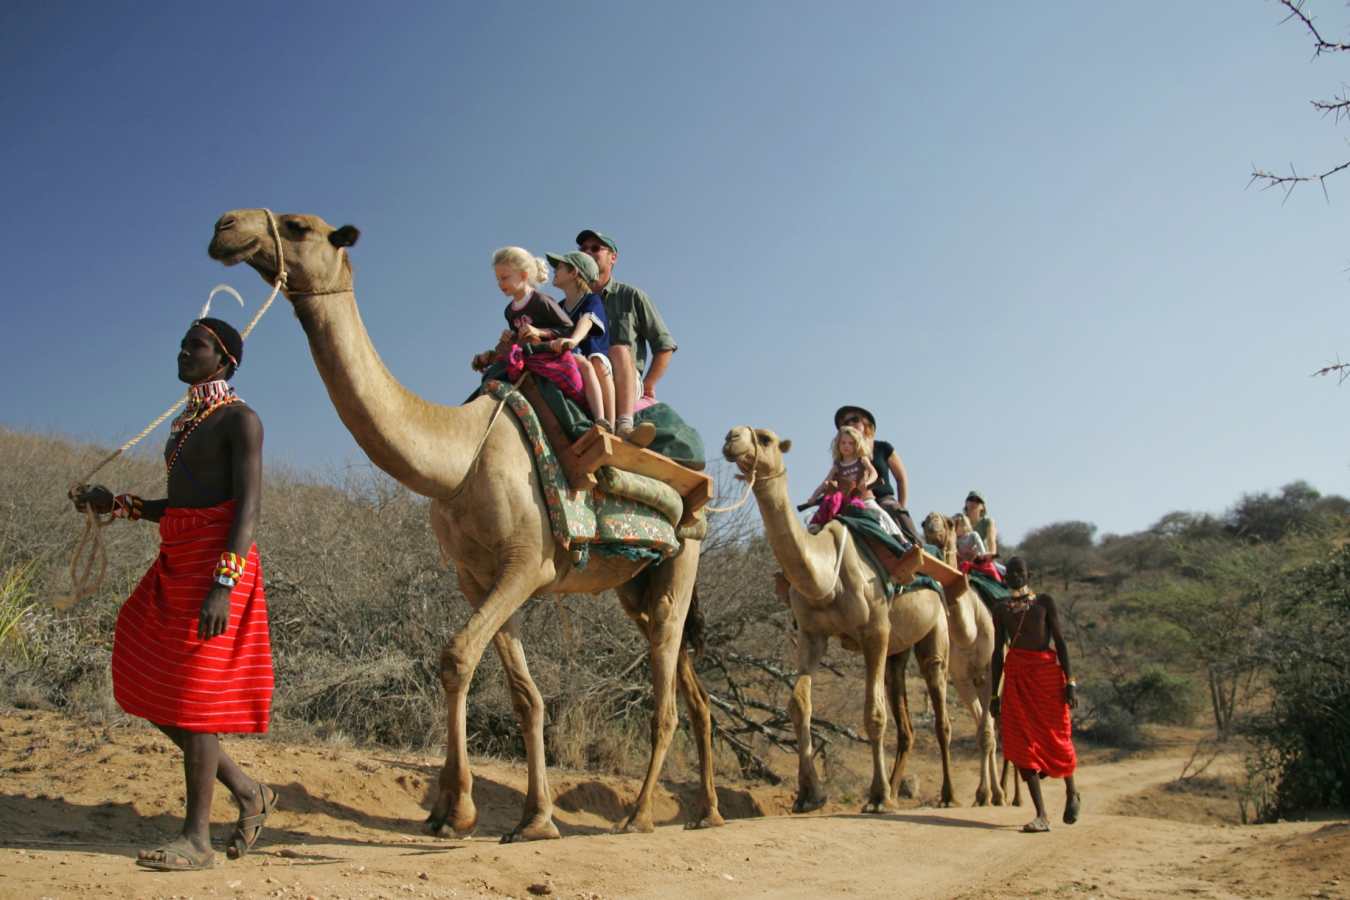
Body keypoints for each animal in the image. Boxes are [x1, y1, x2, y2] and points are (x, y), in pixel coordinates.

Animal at [207, 209, 724, 840]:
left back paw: (640, 815)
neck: (460, 458)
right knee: (689, 687)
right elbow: (519, 693)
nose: (227, 226)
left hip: (682, 557)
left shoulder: (529, 563)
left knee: (666, 697)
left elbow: (455, 656)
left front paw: (461, 811)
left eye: (299, 225)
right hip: (636, 584)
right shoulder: (478, 576)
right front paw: (525, 818)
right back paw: (708, 812)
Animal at [722, 426, 956, 812]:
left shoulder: (875, 631)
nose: (732, 438)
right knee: (904, 721)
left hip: (935, 631)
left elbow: (874, 715)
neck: (824, 571)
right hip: (898, 651)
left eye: (766, 438)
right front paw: (809, 795)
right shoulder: (811, 634)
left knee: (940, 709)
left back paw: (948, 796)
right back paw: (898, 789)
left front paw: (877, 798)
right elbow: (798, 705)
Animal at [921, 512, 1007, 806]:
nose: (931, 525)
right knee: (985, 725)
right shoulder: (961, 678)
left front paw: (992, 795)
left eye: (947, 523)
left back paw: (1005, 793)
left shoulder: (991, 673)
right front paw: (983, 794)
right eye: (925, 522)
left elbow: (987, 734)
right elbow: (982, 733)